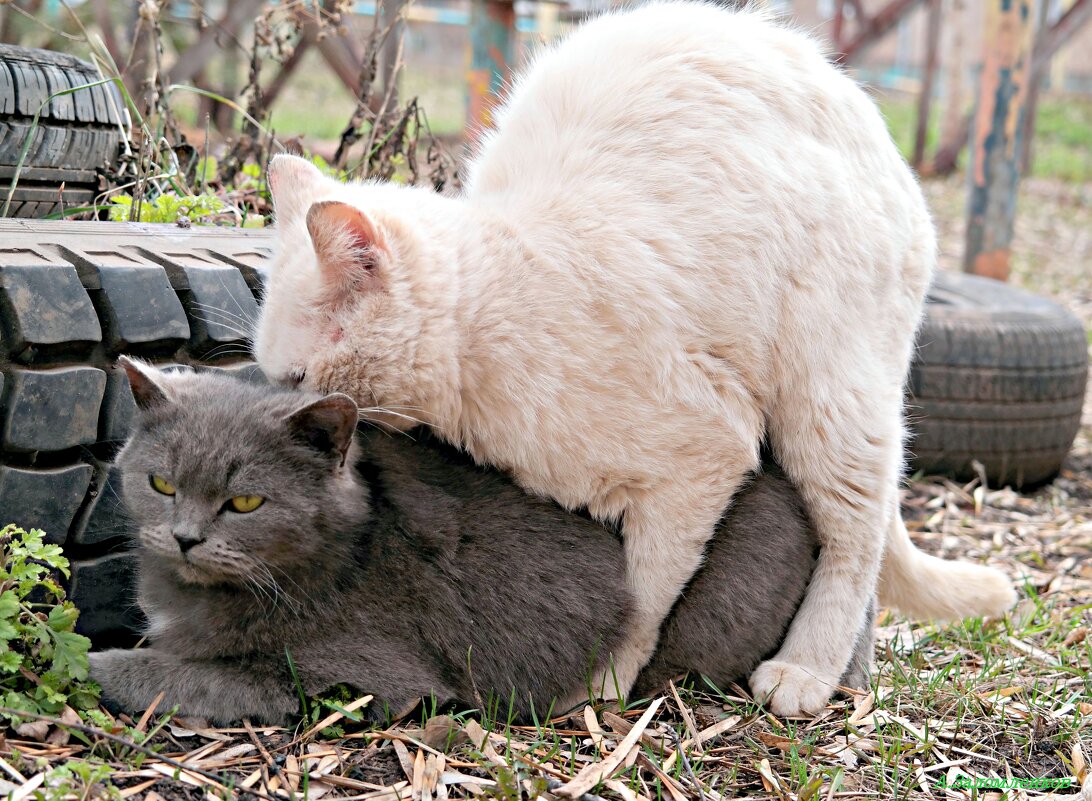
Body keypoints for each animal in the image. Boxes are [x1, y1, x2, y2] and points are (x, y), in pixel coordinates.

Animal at [87, 360, 869, 724]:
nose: (184, 537)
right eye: (160, 483)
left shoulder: (358, 676)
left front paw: (85, 665)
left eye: (245, 501)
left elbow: (178, 672)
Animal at [255, 1, 1013, 715]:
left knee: (858, 527)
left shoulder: (705, 454)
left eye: (298, 377)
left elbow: (644, 595)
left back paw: (805, 672)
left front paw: (605, 681)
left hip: (825, 391)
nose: (284, 414)